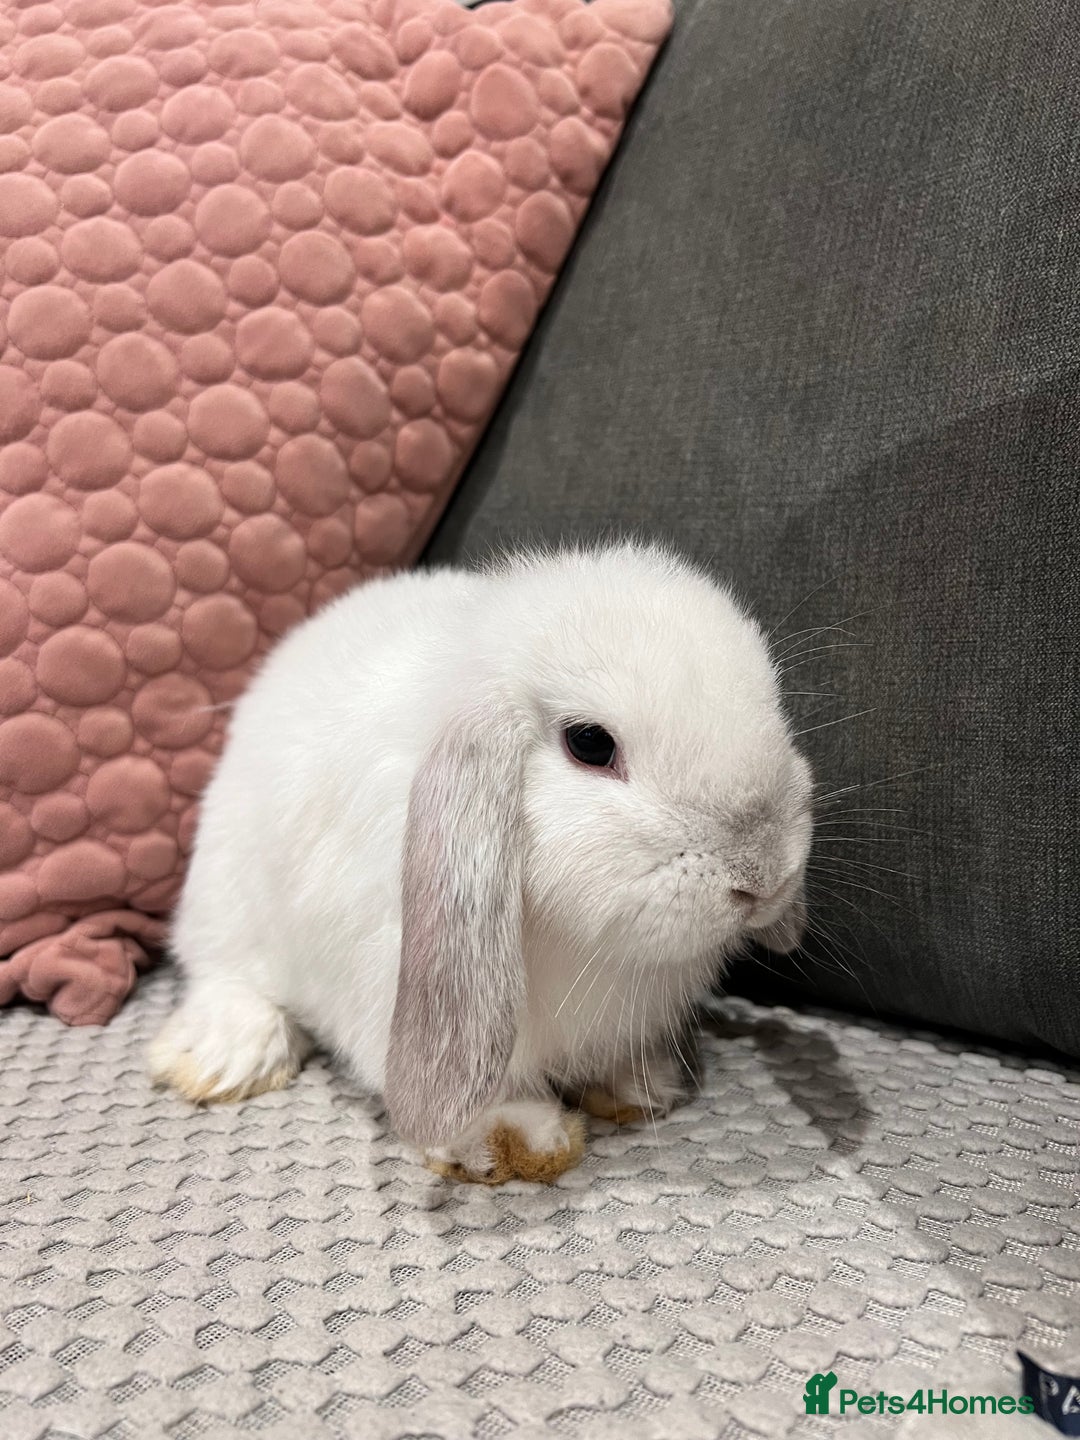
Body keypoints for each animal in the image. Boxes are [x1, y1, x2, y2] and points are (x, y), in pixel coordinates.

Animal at [149, 541, 813, 1184]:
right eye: (590, 744)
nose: (764, 878)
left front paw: (641, 1085)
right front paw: (515, 1140)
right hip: (224, 900)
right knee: (226, 976)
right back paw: (226, 1057)